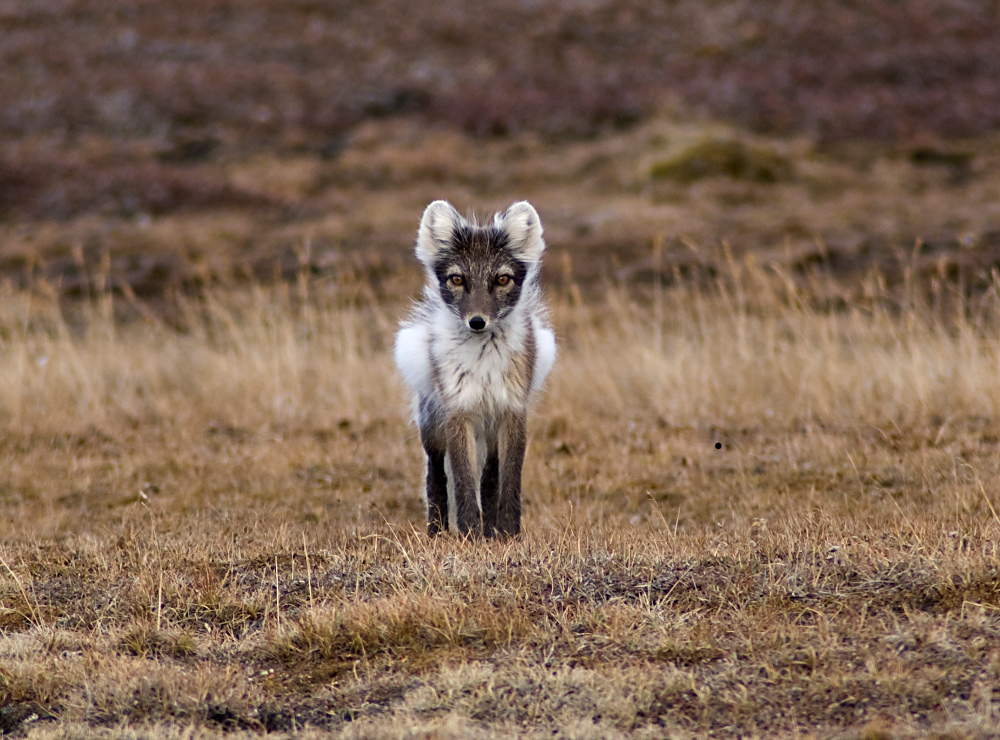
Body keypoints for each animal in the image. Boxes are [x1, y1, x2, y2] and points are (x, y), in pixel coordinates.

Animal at [394, 202, 560, 536]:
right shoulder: (459, 413)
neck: (484, 364)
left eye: (502, 279)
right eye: (457, 279)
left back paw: (491, 531)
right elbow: (462, 481)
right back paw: (438, 532)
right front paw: (469, 534)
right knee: (436, 477)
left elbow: (508, 481)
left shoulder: (512, 412)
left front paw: (509, 534)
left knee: (490, 477)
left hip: (491, 430)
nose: (477, 322)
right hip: (433, 427)